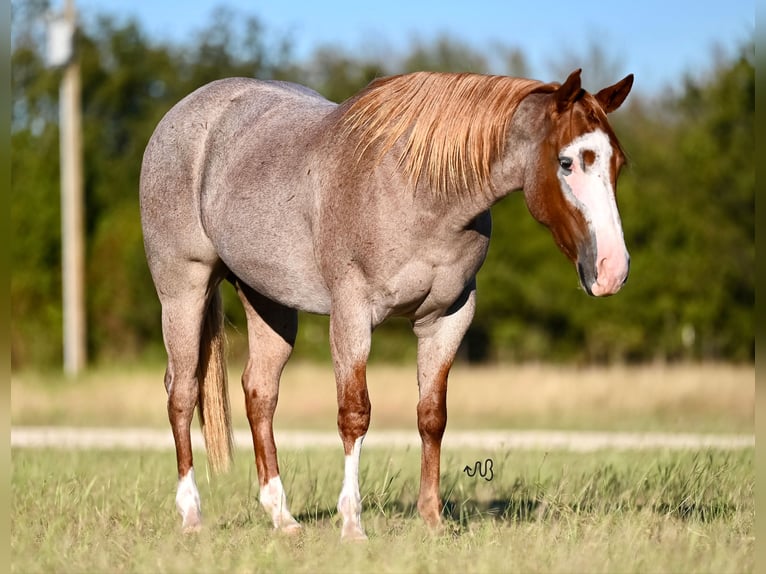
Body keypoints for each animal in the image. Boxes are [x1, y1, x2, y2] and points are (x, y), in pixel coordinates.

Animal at [141, 67, 632, 540]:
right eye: (567, 162)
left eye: (618, 164)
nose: (612, 270)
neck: (421, 190)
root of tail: (181, 115)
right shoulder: (352, 312)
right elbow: (355, 414)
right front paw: (352, 524)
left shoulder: (448, 318)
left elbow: (432, 416)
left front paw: (432, 520)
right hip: (183, 288)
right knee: (181, 392)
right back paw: (191, 515)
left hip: (268, 300)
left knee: (260, 393)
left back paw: (282, 518)